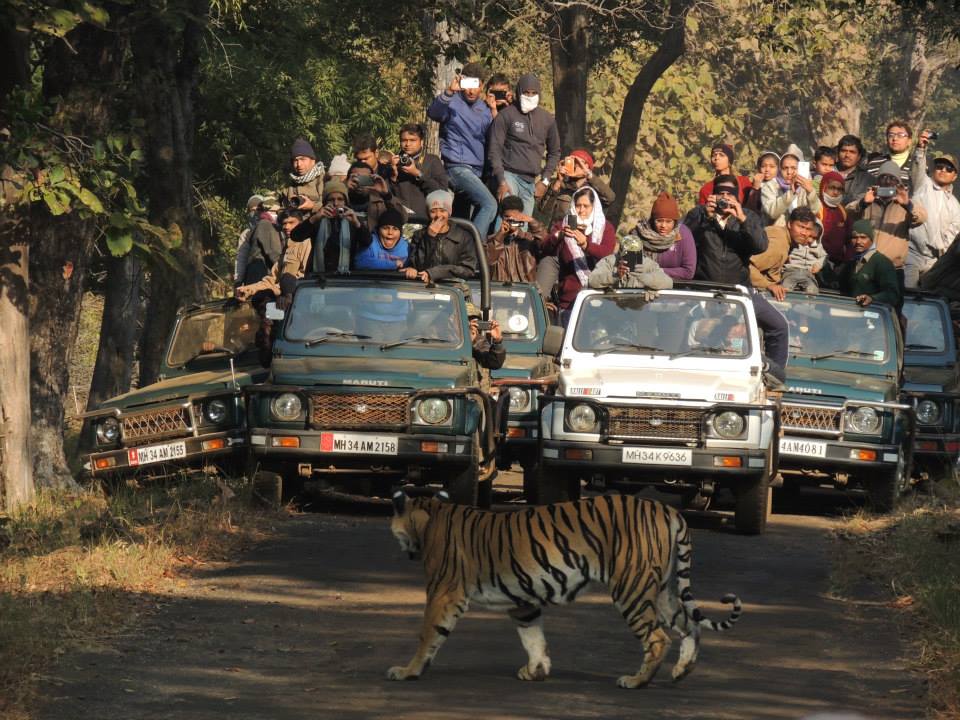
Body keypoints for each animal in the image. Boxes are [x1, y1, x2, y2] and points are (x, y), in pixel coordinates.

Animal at [387, 491, 741, 688]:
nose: (401, 545)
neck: (429, 519)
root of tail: (667, 509)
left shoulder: (443, 592)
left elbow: (428, 634)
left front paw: (408, 671)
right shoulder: (523, 602)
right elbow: (533, 638)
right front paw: (536, 671)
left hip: (631, 588)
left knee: (657, 638)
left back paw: (637, 681)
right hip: (665, 590)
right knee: (691, 626)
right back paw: (682, 671)